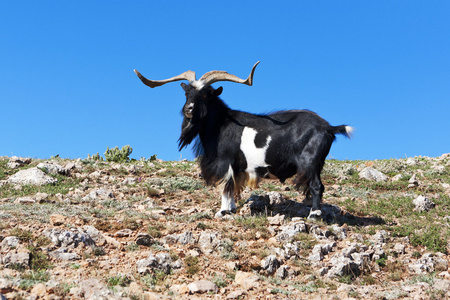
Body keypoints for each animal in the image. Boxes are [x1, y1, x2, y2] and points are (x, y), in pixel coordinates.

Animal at [134, 62, 352, 219]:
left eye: (205, 94)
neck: (220, 124)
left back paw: (314, 215)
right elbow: (232, 187)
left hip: (310, 162)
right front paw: (230, 209)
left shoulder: (225, 162)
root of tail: (329, 127)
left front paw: (222, 212)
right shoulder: (237, 168)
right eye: (187, 92)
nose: (189, 109)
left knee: (316, 186)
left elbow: (225, 186)